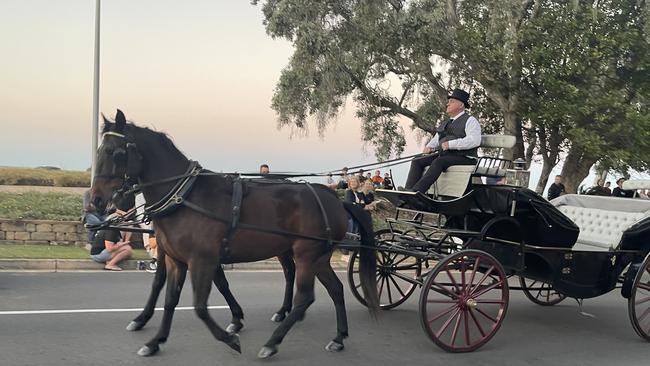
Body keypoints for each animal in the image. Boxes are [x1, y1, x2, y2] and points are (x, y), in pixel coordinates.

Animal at [90, 110, 374, 358]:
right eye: (100, 150)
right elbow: (170, 298)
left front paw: (230, 336)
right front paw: (155, 340)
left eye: (115, 152)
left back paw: (273, 342)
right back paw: (338, 336)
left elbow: (200, 306)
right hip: (316, 256)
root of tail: (333, 197)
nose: (96, 200)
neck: (186, 197)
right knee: (334, 288)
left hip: (306, 253)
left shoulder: (202, 259)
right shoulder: (176, 259)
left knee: (305, 296)